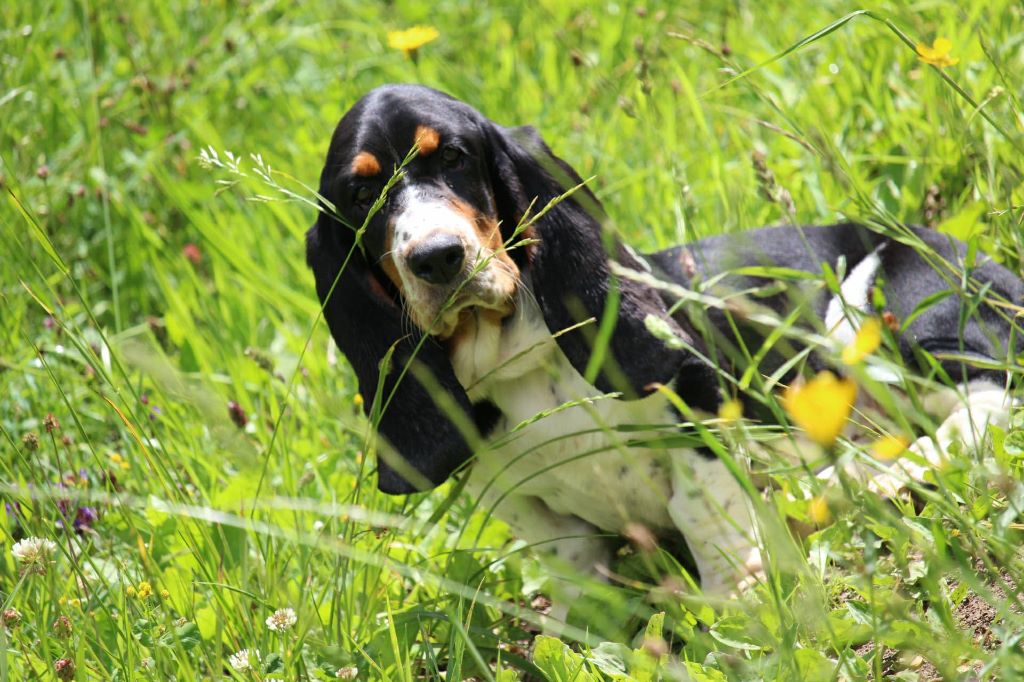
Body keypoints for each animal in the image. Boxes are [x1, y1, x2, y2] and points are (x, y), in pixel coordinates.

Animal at [305, 83, 1024, 614]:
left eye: (454, 156)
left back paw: (862, 479)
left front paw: (739, 603)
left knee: (982, 408)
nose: (436, 258)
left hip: (871, 316)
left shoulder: (699, 411)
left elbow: (703, 508)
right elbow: (570, 560)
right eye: (363, 195)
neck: (517, 361)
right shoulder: (514, 497)